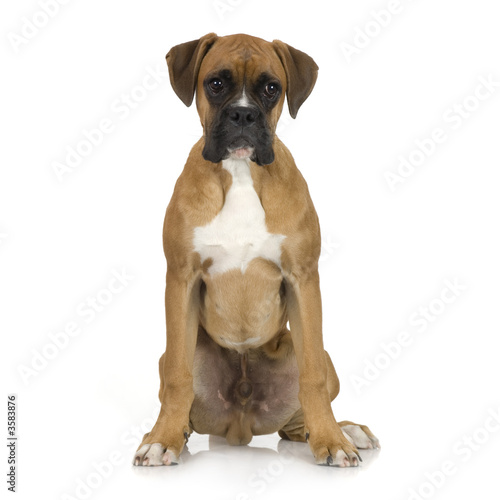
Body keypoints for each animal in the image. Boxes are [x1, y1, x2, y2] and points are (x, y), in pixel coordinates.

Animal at [133, 33, 378, 466]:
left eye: (271, 88)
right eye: (216, 83)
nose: (243, 116)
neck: (241, 172)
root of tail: (241, 426)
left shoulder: (302, 279)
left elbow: (312, 377)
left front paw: (331, 440)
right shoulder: (181, 278)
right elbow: (178, 378)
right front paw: (162, 439)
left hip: (313, 355)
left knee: (300, 416)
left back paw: (343, 430)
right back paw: (168, 432)